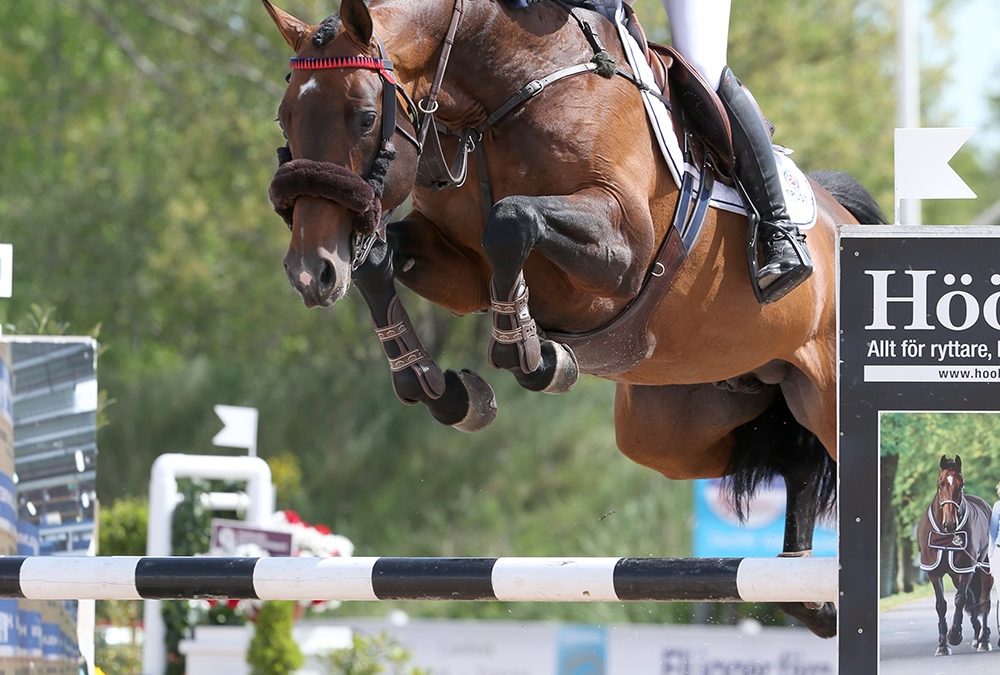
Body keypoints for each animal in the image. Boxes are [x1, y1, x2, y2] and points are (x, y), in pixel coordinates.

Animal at [260, 0, 884, 636]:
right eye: (286, 121)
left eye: (365, 118)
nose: (310, 271)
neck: (498, 99)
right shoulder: (459, 267)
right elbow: (383, 260)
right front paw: (441, 389)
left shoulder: (623, 247)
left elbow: (511, 219)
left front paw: (532, 354)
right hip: (678, 425)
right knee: (788, 453)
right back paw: (808, 596)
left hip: (824, 389)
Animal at [916, 454, 996, 656]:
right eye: (940, 484)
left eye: (961, 485)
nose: (950, 524)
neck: (946, 537)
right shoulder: (934, 571)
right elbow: (941, 604)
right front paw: (942, 645)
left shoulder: (966, 569)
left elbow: (959, 600)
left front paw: (954, 634)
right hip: (954, 574)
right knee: (972, 599)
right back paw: (977, 635)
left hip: (984, 569)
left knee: (984, 601)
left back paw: (984, 640)